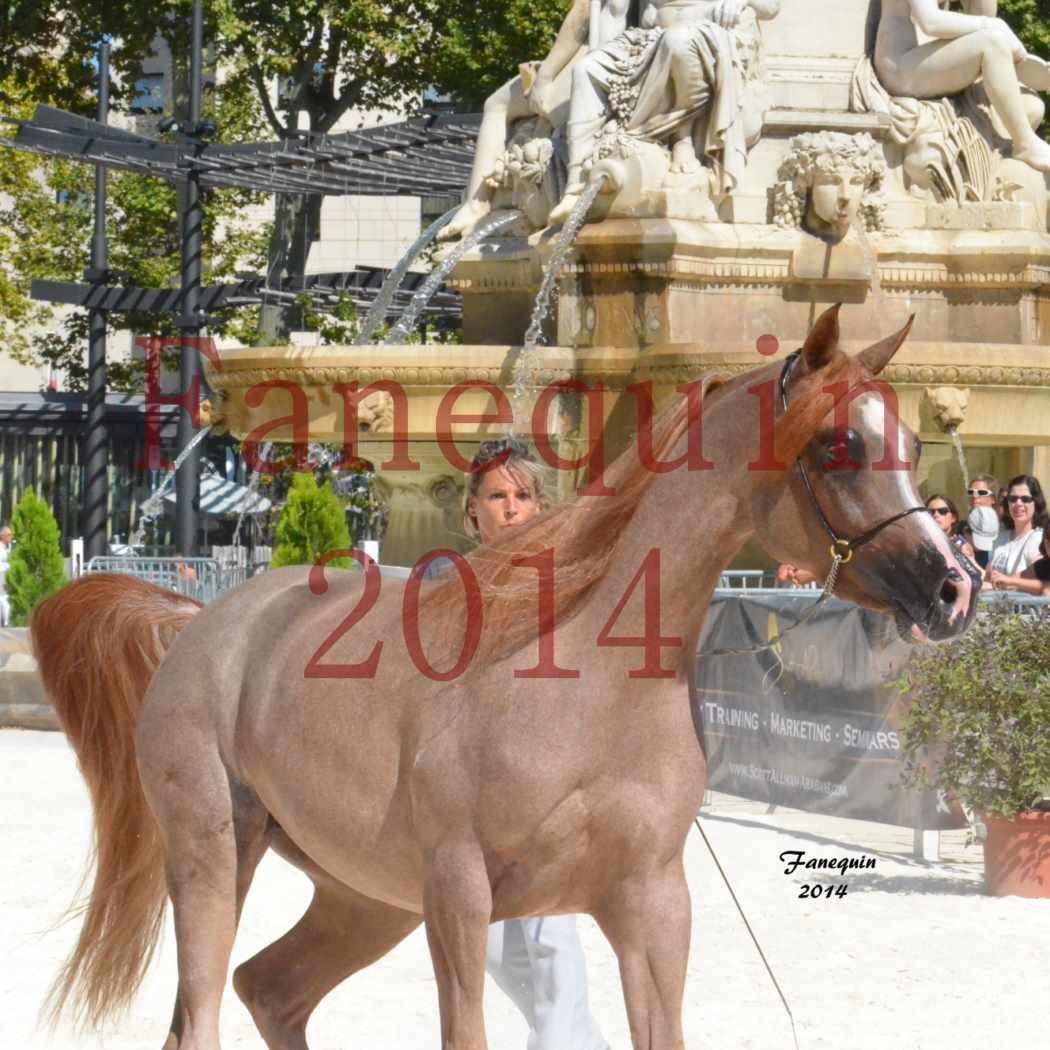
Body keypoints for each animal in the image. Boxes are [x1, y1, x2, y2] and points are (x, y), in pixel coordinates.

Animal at [37, 304, 978, 1050]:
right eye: (839, 443)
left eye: (913, 442)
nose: (953, 587)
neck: (587, 686)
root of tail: (200, 624)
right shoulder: (458, 898)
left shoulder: (652, 907)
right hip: (214, 857)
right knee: (202, 1014)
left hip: (364, 897)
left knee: (271, 992)